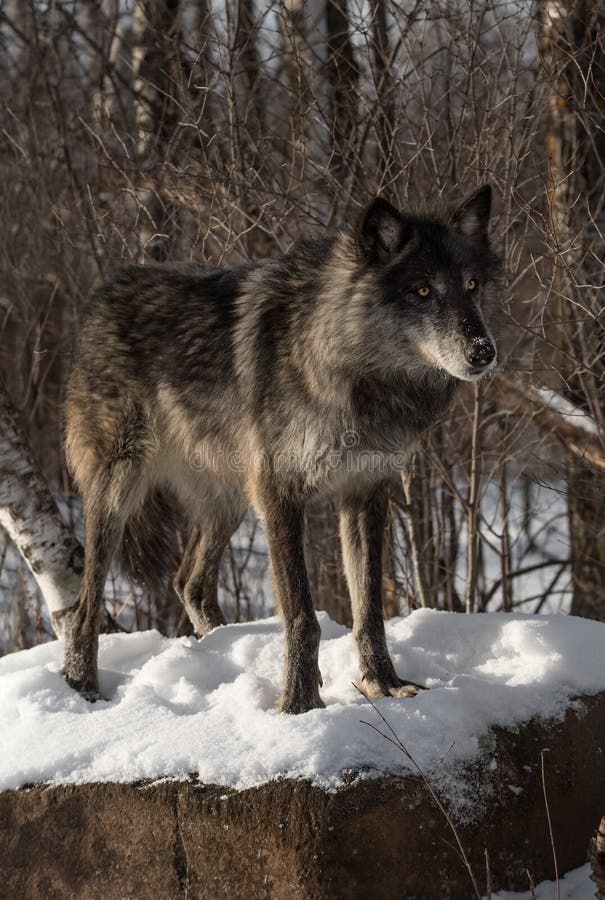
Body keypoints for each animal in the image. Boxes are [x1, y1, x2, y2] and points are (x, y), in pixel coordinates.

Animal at [63, 186, 500, 712]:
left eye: (472, 286)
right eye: (422, 291)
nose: (484, 351)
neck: (357, 374)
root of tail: (104, 293)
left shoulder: (365, 492)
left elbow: (369, 608)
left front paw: (384, 683)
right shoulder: (279, 494)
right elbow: (301, 614)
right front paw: (299, 703)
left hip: (228, 501)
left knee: (188, 582)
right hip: (120, 491)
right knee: (85, 604)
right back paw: (82, 684)